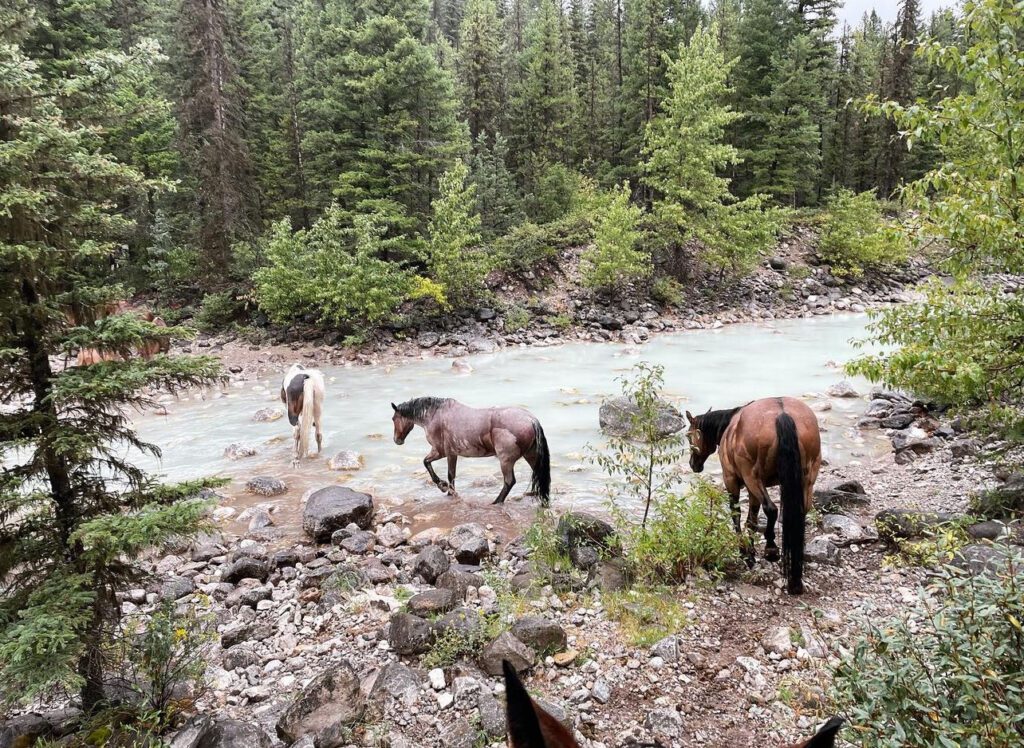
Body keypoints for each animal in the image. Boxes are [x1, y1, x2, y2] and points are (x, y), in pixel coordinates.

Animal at [391, 393, 552, 504]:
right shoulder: (451, 454)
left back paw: (496, 502)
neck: (435, 416)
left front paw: (443, 486)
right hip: (530, 455)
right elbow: (449, 473)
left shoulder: (441, 452)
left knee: (509, 481)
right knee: (539, 475)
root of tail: (532, 420)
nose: (397, 440)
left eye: (393, 419)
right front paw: (449, 491)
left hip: (505, 460)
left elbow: (432, 466)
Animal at [684, 395, 819, 594]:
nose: (693, 464)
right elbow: (752, 521)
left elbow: (738, 516)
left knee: (771, 509)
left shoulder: (732, 481)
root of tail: (783, 414)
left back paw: (771, 550)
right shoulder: (751, 490)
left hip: (752, 477)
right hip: (806, 480)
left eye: (689, 437)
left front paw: (745, 553)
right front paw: (751, 551)